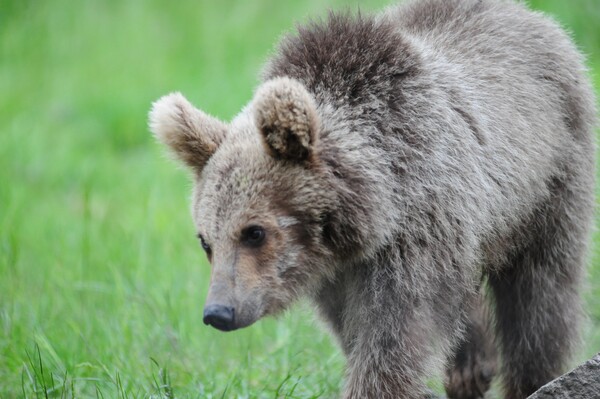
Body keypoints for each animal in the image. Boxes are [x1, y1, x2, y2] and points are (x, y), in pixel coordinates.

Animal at [149, 1, 596, 398]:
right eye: (205, 241)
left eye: (254, 232)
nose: (218, 312)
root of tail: (532, 16)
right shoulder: (337, 277)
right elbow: (358, 335)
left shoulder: (415, 236)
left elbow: (391, 340)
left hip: (548, 183)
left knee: (541, 294)